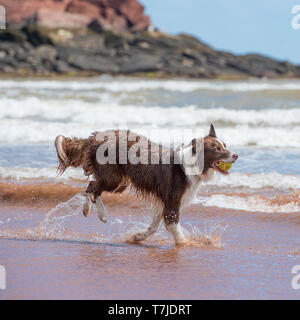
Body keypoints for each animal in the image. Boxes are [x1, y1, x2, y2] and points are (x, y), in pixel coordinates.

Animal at [55, 125, 238, 245]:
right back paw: (94, 212)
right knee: (92, 187)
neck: (193, 165)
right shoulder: (172, 202)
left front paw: (137, 237)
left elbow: (154, 226)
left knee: (93, 185)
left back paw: (99, 214)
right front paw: (188, 244)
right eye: (216, 148)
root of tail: (96, 137)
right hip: (114, 177)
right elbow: (176, 229)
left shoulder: (163, 202)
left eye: (225, 145)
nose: (235, 155)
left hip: (120, 180)